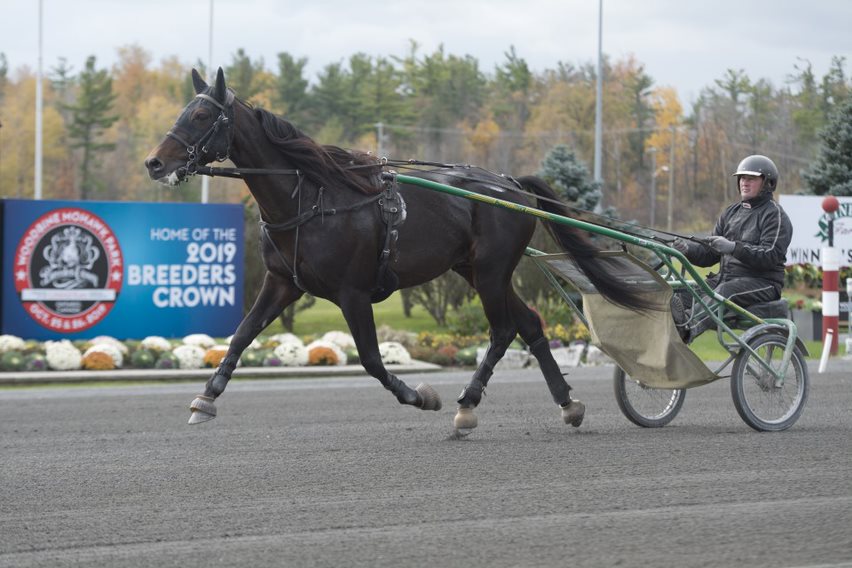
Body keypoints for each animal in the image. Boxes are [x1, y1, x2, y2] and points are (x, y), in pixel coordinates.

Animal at [143, 69, 644, 432]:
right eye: (185, 111)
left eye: (202, 117)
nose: (155, 162)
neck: (312, 197)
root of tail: (511, 184)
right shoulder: (282, 282)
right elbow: (242, 334)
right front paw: (205, 398)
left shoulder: (352, 292)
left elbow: (370, 358)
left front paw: (420, 395)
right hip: (476, 270)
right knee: (530, 324)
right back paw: (567, 403)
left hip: (492, 269)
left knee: (503, 330)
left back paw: (467, 403)